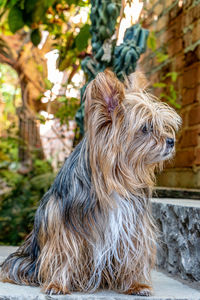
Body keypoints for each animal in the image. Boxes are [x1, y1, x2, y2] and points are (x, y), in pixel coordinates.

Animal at [0, 69, 181, 296]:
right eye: (146, 128)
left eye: (163, 125)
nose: (171, 141)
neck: (114, 177)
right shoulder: (65, 224)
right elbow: (64, 253)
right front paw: (57, 284)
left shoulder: (132, 226)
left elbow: (133, 253)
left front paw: (136, 285)